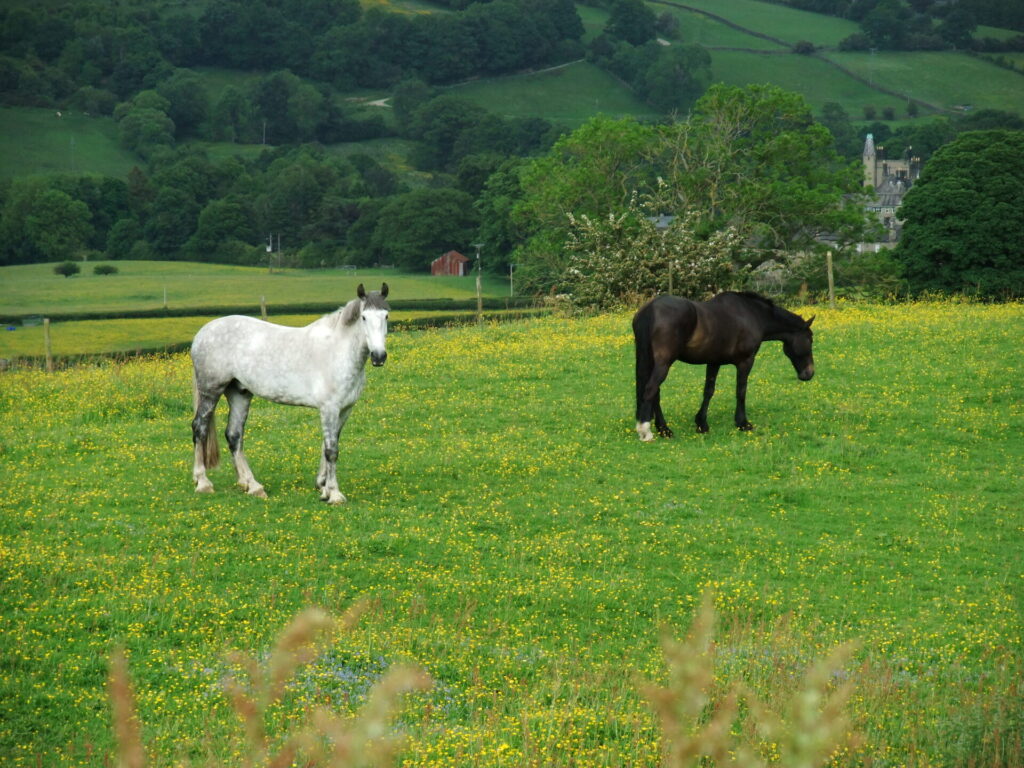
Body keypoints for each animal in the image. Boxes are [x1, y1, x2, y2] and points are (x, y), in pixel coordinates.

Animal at [190, 283, 390, 503]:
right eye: (364, 317)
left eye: (386, 315)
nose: (379, 357)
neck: (337, 350)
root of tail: (202, 333)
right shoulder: (329, 408)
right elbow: (331, 450)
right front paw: (334, 494)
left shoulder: (344, 409)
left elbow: (328, 445)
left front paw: (323, 488)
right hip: (210, 391)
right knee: (200, 428)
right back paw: (203, 482)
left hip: (239, 393)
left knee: (234, 435)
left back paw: (251, 485)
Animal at [632, 291, 814, 442]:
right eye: (810, 339)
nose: (809, 373)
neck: (751, 314)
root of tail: (651, 309)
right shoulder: (746, 361)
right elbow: (741, 391)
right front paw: (743, 423)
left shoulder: (714, 362)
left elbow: (708, 391)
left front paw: (702, 424)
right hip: (664, 363)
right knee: (651, 389)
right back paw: (646, 431)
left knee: (655, 393)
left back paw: (663, 430)